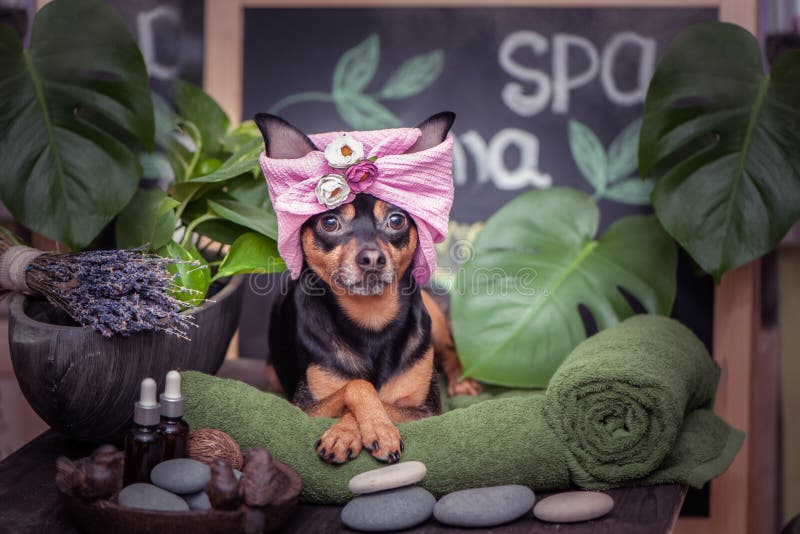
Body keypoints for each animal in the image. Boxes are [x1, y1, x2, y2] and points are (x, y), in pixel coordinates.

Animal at [256, 113, 478, 464]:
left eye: (396, 220)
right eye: (329, 222)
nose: (372, 258)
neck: (371, 320)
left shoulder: (426, 411)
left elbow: (383, 398)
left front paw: (375, 429)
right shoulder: (304, 408)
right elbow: (358, 386)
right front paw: (354, 432)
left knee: (449, 349)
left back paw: (461, 380)